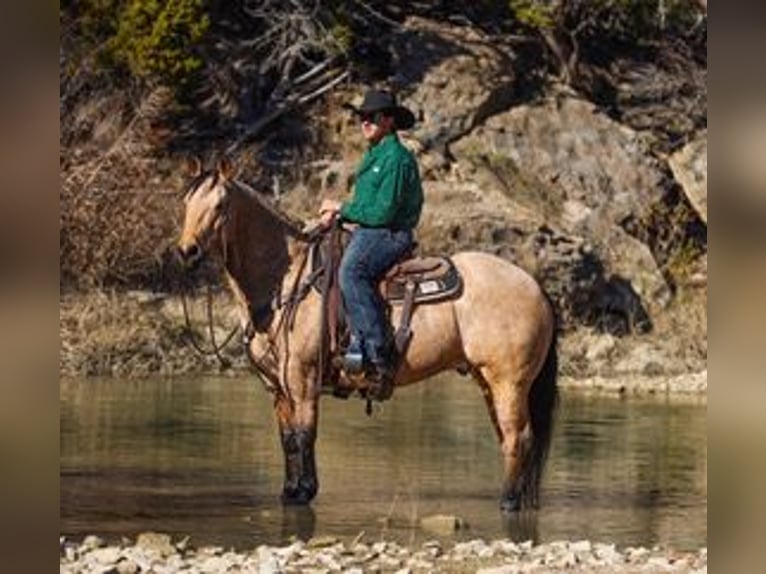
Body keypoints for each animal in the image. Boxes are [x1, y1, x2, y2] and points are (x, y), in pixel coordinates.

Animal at [176, 158, 559, 512]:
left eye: (220, 206)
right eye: (186, 202)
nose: (187, 251)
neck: (285, 281)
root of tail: (534, 285)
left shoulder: (303, 377)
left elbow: (305, 433)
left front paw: (306, 491)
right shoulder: (277, 385)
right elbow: (287, 439)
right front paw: (289, 492)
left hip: (509, 381)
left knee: (519, 437)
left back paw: (508, 502)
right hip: (488, 381)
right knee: (509, 438)